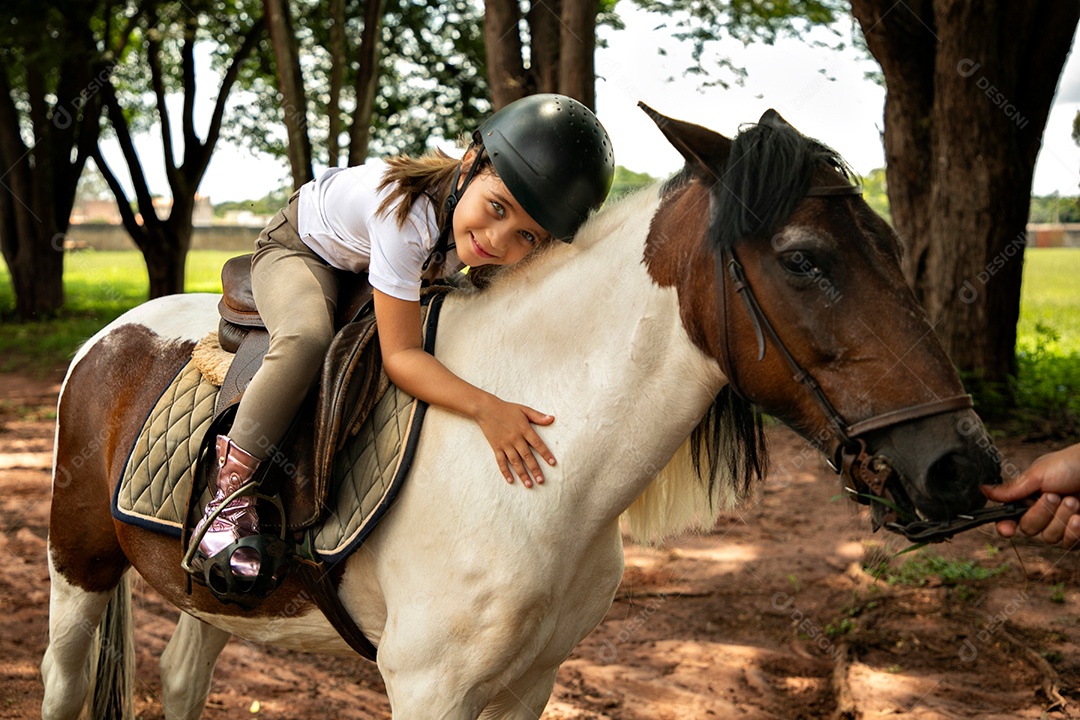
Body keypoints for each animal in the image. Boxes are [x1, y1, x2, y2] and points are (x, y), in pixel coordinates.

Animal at [41, 106, 1001, 719]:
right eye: (804, 259)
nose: (966, 463)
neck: (554, 484)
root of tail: (109, 339)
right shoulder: (427, 689)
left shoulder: (531, 683)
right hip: (76, 566)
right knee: (64, 681)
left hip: (210, 602)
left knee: (179, 679)